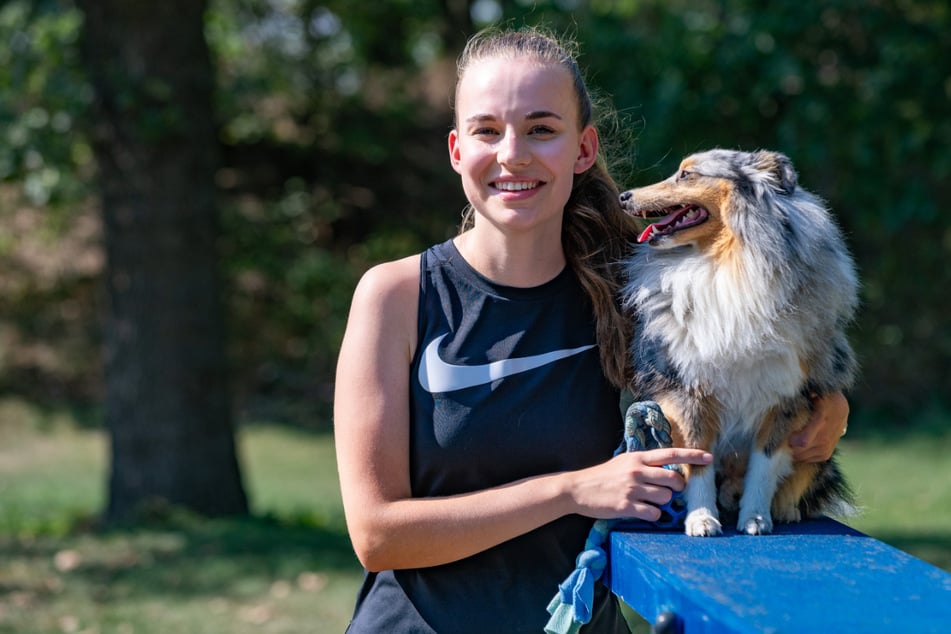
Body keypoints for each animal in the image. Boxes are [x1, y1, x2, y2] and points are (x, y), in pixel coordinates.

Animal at [620, 149, 860, 532]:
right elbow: (697, 461)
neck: (728, 258)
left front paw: (756, 518)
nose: (624, 196)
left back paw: (784, 511)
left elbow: (764, 466)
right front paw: (701, 520)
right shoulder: (688, 392)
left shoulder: (785, 396)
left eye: (686, 175)